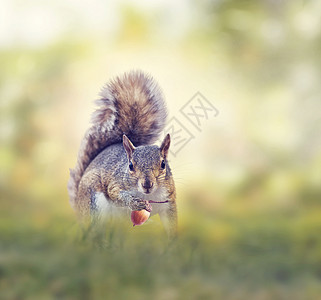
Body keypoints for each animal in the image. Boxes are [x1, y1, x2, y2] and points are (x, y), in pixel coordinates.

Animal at [68, 69, 178, 237]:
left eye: (163, 164)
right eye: (130, 166)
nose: (147, 184)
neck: (148, 195)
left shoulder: (169, 199)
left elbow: (171, 223)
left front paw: (174, 242)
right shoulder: (115, 183)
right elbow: (116, 194)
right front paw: (133, 202)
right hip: (93, 204)